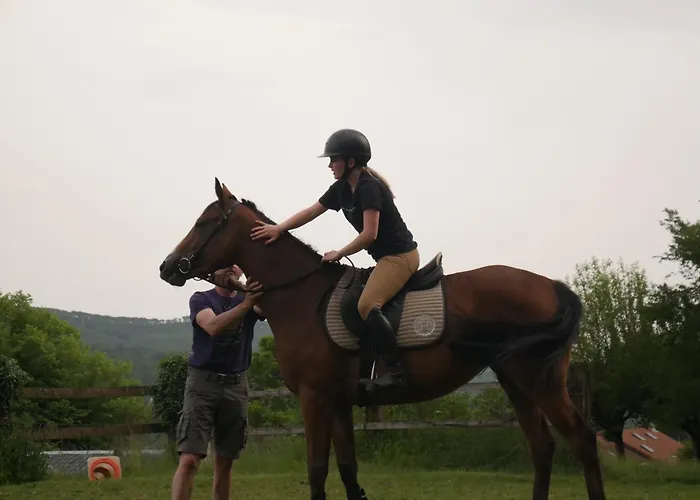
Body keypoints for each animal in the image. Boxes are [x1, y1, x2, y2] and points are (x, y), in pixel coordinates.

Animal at [158, 178, 605, 500]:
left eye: (202, 224)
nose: (167, 267)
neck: (303, 296)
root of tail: (551, 286)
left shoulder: (314, 397)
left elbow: (317, 471)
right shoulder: (339, 401)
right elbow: (348, 470)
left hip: (539, 380)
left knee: (582, 442)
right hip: (515, 379)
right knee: (543, 449)